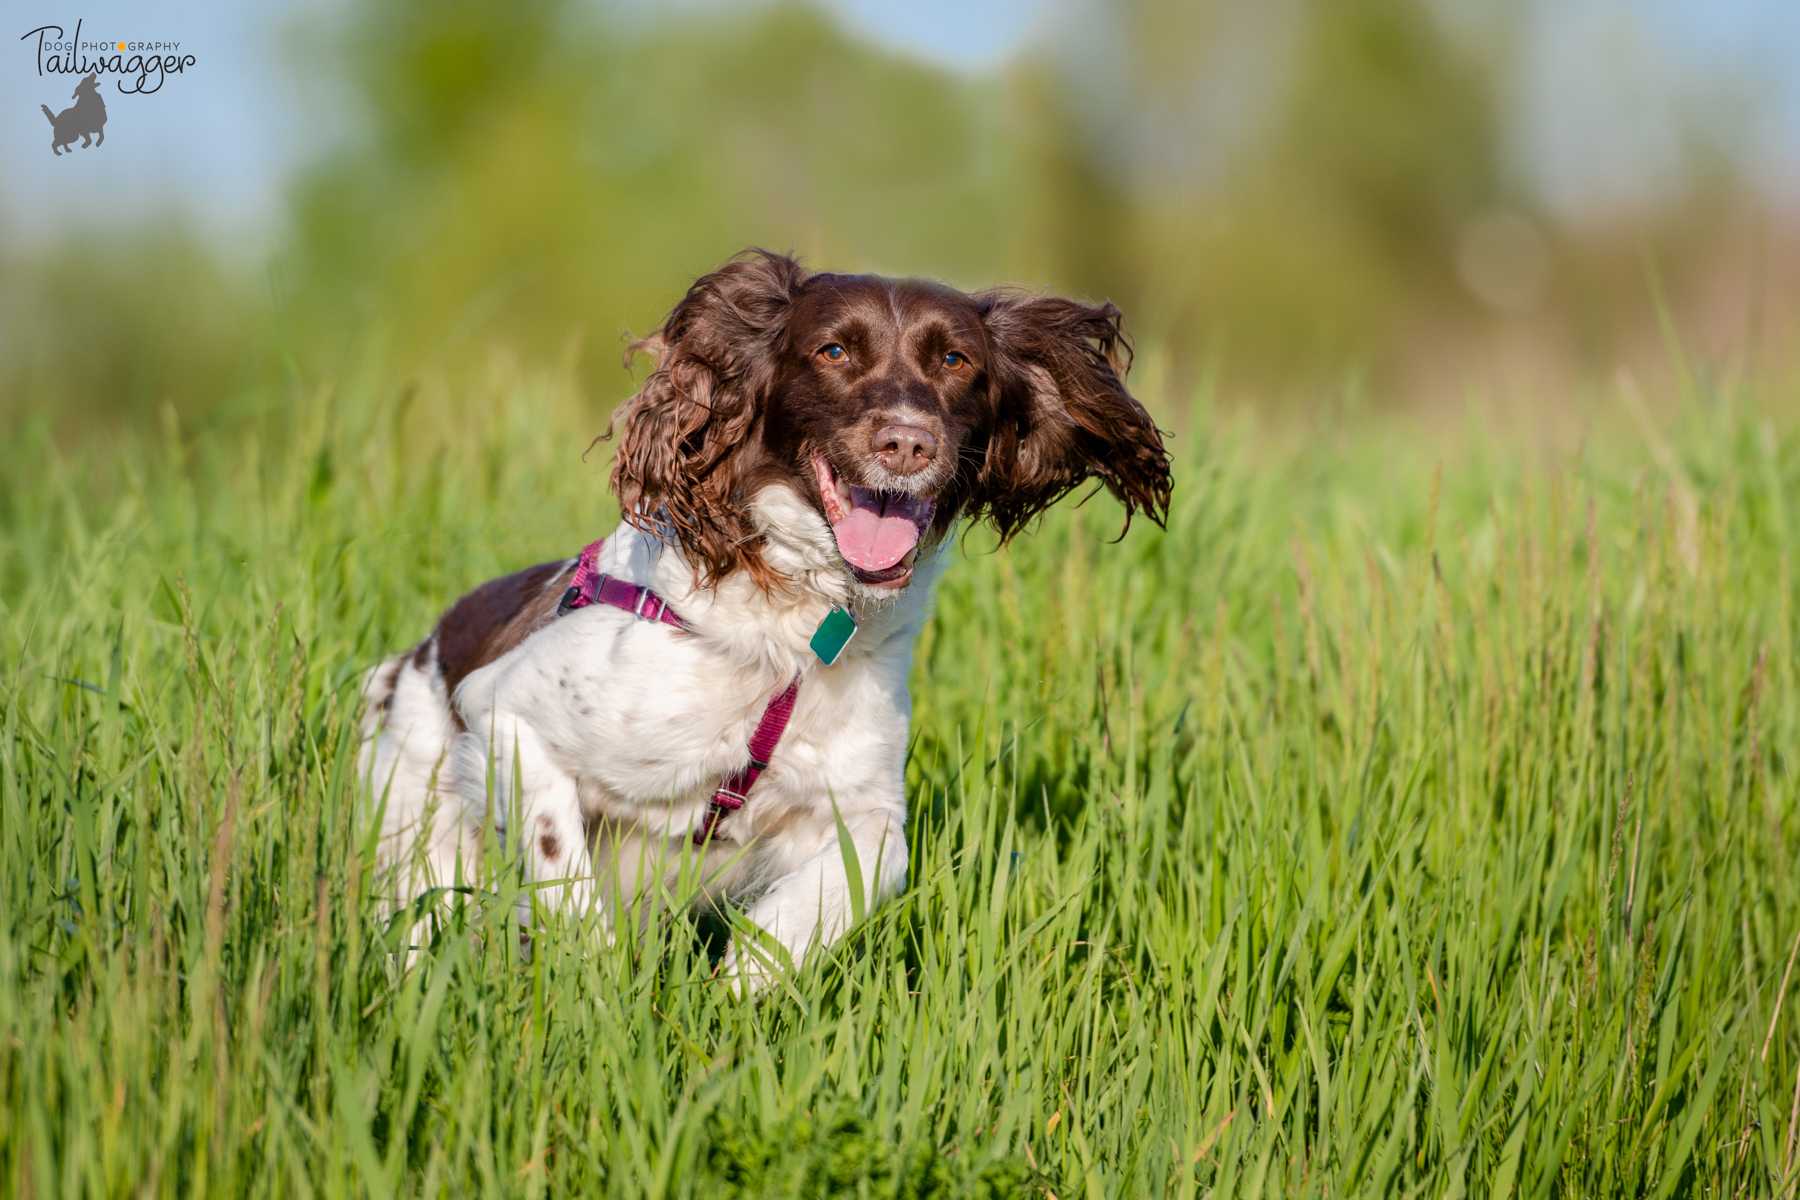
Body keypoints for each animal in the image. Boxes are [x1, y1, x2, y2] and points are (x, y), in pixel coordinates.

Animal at [358, 251, 1173, 985]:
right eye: (834, 350)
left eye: (955, 359)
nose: (908, 442)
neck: (798, 625)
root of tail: (417, 654)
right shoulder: (506, 709)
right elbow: (565, 873)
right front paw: (596, 984)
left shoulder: (863, 799)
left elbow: (864, 871)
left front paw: (752, 971)